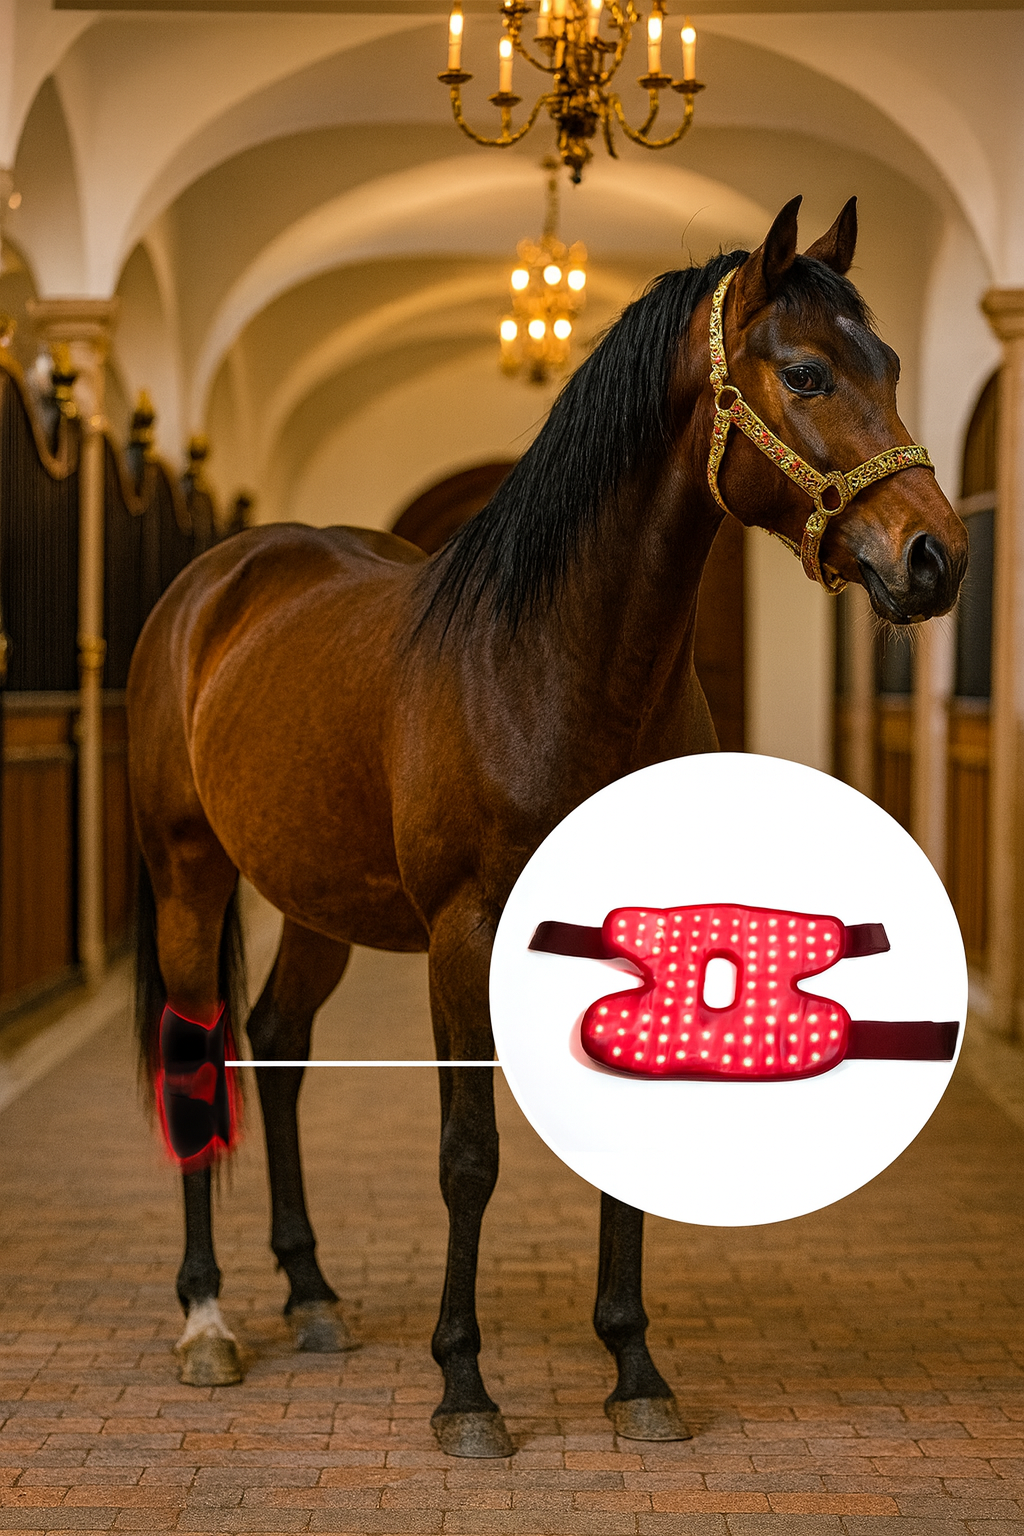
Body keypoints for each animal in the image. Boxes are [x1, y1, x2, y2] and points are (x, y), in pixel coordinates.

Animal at [127, 195, 968, 1459]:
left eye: (894, 366)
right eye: (808, 372)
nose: (937, 557)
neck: (553, 660)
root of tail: (216, 581)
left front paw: (635, 1373)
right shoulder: (462, 931)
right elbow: (467, 1154)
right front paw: (464, 1389)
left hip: (317, 898)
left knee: (277, 1043)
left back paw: (311, 1292)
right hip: (190, 875)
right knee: (199, 1052)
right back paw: (204, 1321)